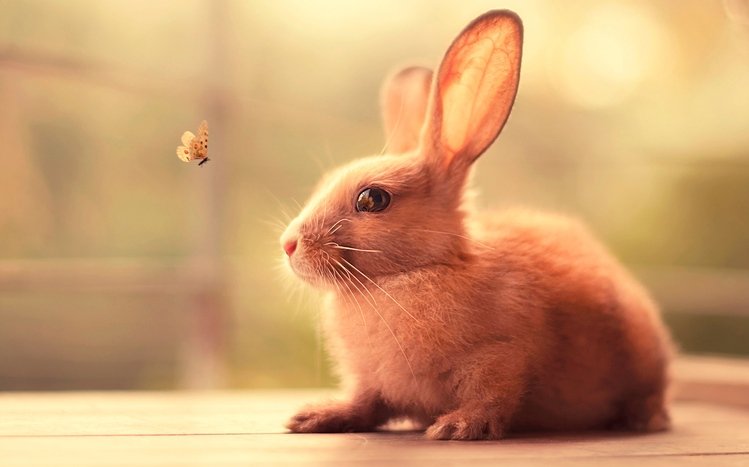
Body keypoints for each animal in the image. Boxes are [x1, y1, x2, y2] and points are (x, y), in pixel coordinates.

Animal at [279, 10, 673, 441]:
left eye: (372, 199)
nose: (288, 245)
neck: (409, 274)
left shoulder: (500, 357)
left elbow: (491, 397)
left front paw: (457, 426)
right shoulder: (371, 382)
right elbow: (365, 404)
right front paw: (315, 417)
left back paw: (645, 418)